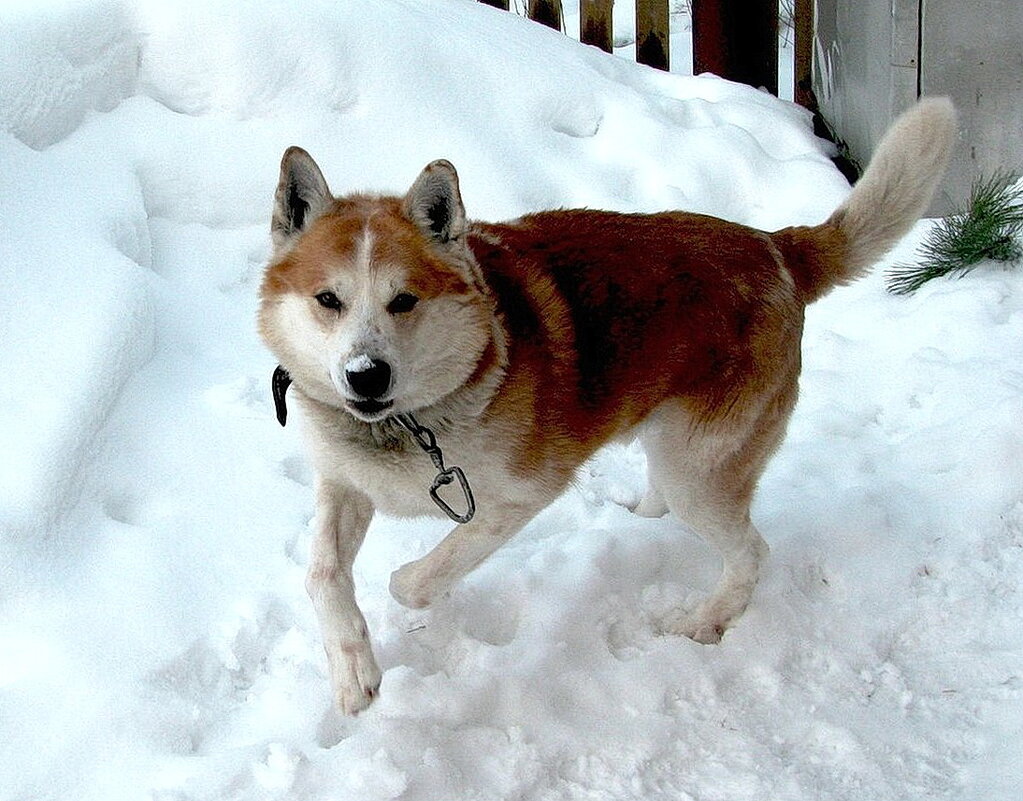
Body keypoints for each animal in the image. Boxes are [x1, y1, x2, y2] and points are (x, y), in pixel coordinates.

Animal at [259, 100, 953, 716]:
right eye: (328, 300)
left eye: (403, 301)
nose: (365, 376)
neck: (408, 422)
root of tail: (776, 247)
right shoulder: (343, 482)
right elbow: (322, 574)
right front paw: (353, 669)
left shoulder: (519, 497)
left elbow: (419, 576)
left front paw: (415, 597)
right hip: (677, 447)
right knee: (671, 503)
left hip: (698, 469)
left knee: (751, 553)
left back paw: (704, 621)